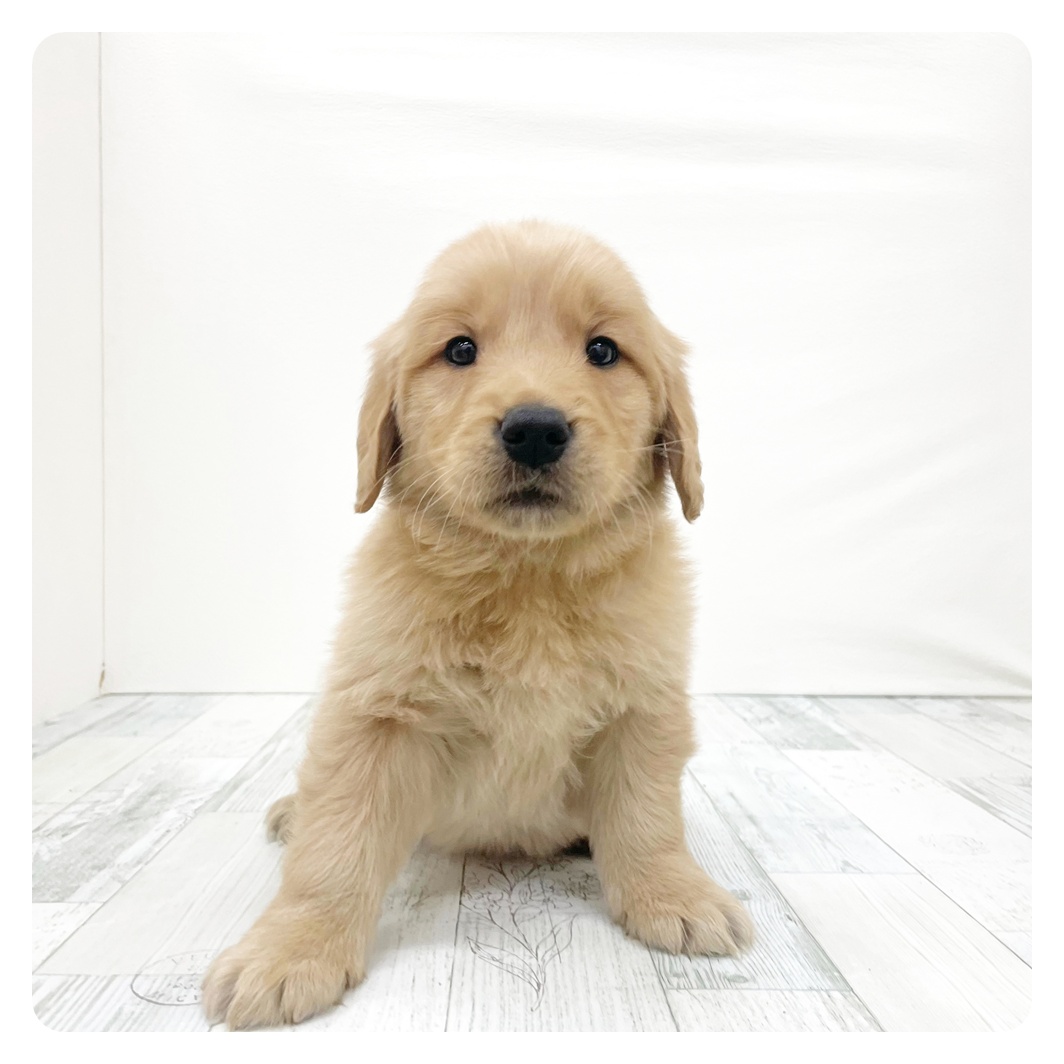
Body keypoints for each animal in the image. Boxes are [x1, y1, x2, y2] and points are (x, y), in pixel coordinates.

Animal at [201, 220, 754, 1029]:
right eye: (459, 349)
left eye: (603, 350)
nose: (535, 429)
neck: (527, 579)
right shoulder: (376, 713)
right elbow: (336, 845)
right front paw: (292, 949)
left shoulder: (643, 708)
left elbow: (647, 819)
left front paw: (673, 893)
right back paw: (290, 811)